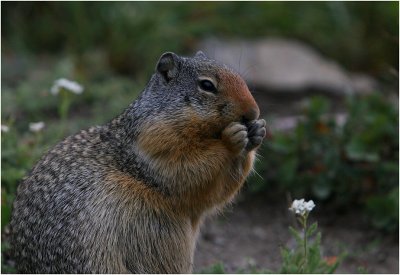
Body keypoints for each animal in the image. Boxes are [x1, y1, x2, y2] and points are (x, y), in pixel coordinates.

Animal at [10, 51, 266, 274]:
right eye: (207, 85)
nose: (254, 112)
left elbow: (212, 195)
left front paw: (258, 131)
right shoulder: (158, 144)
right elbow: (189, 169)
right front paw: (233, 138)